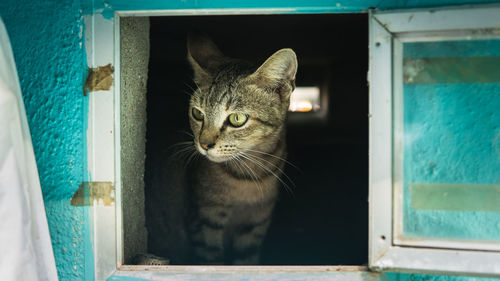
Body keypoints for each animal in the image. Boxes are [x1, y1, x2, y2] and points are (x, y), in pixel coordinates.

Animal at [145, 32, 296, 264]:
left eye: (237, 119)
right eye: (197, 114)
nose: (205, 144)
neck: (247, 178)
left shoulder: (255, 224)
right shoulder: (204, 220)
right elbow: (211, 261)